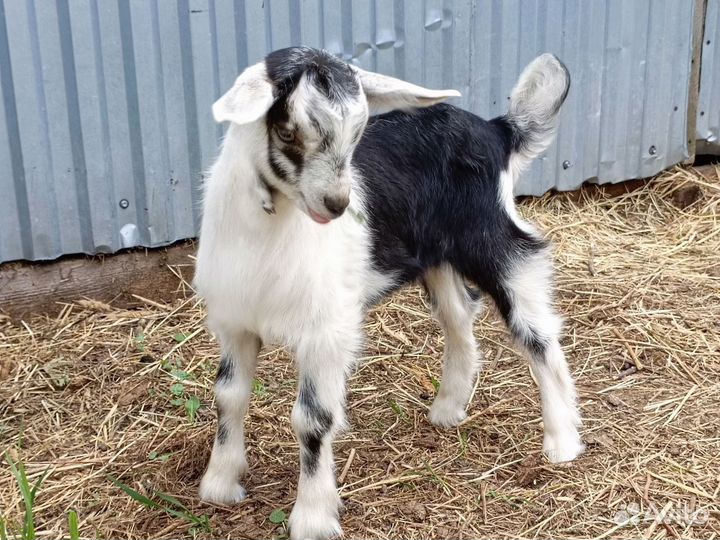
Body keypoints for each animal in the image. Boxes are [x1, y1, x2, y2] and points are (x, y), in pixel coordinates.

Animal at [194, 46, 584, 539]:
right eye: (286, 131)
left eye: (358, 132)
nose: (338, 205)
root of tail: (498, 129)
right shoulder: (235, 321)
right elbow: (228, 395)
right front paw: (220, 483)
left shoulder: (326, 333)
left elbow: (313, 419)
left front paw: (314, 516)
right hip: (437, 258)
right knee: (460, 318)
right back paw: (448, 408)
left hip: (496, 241)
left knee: (537, 332)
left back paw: (563, 441)